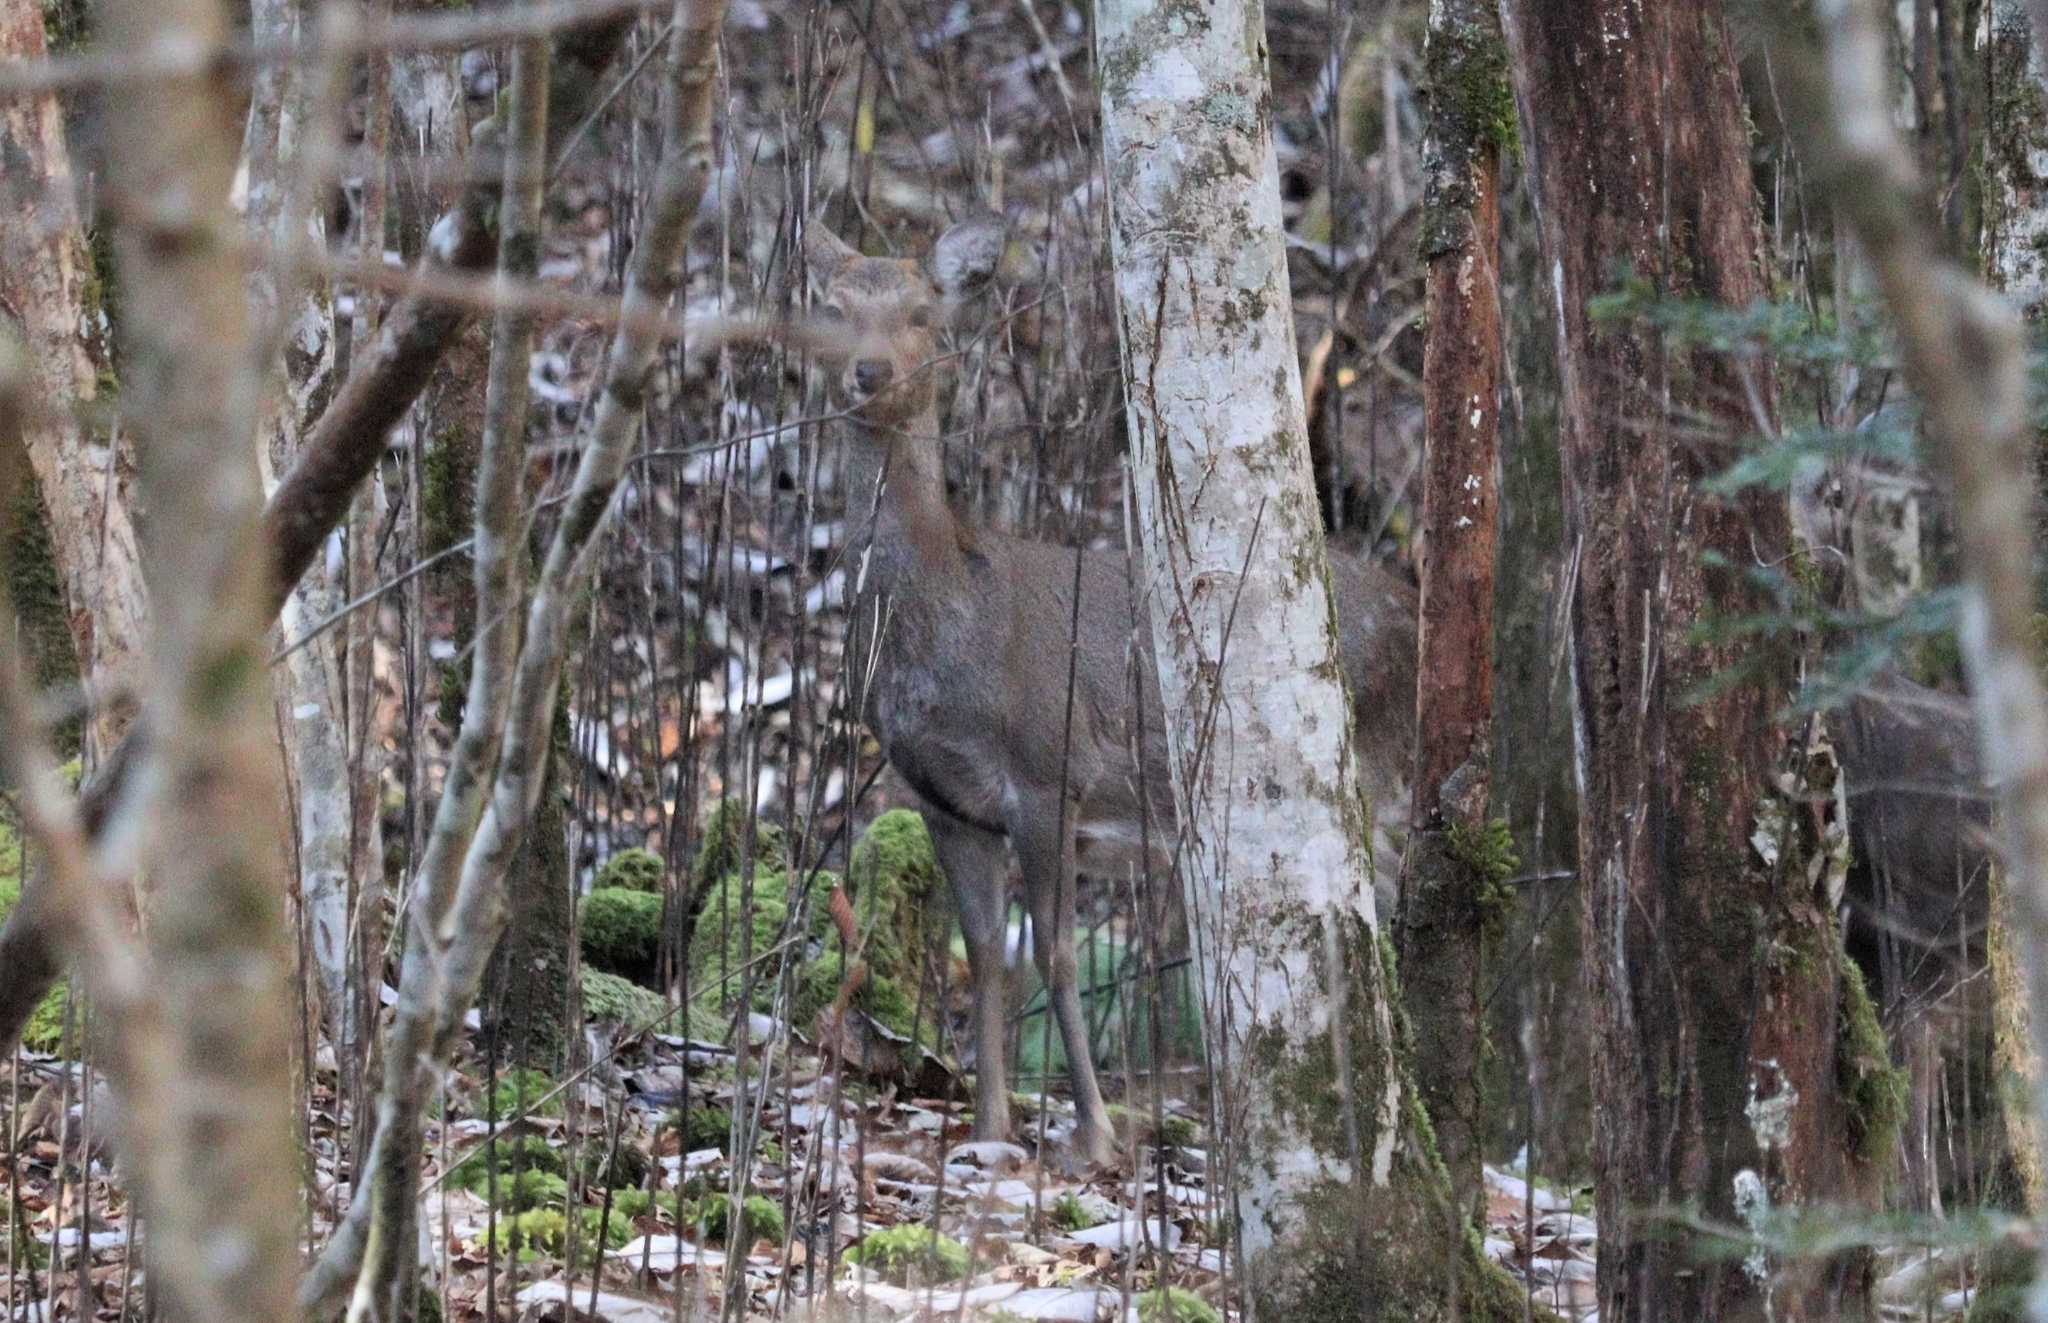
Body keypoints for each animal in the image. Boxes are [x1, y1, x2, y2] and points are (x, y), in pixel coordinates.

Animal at [806, 215, 1417, 1171]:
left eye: (921, 314)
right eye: (831, 310)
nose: (868, 373)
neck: (949, 621)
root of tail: (1415, 615)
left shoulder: (1048, 770)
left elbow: (1056, 958)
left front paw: (1092, 1134)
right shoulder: (944, 799)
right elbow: (987, 959)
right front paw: (988, 1129)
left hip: (1373, 775)